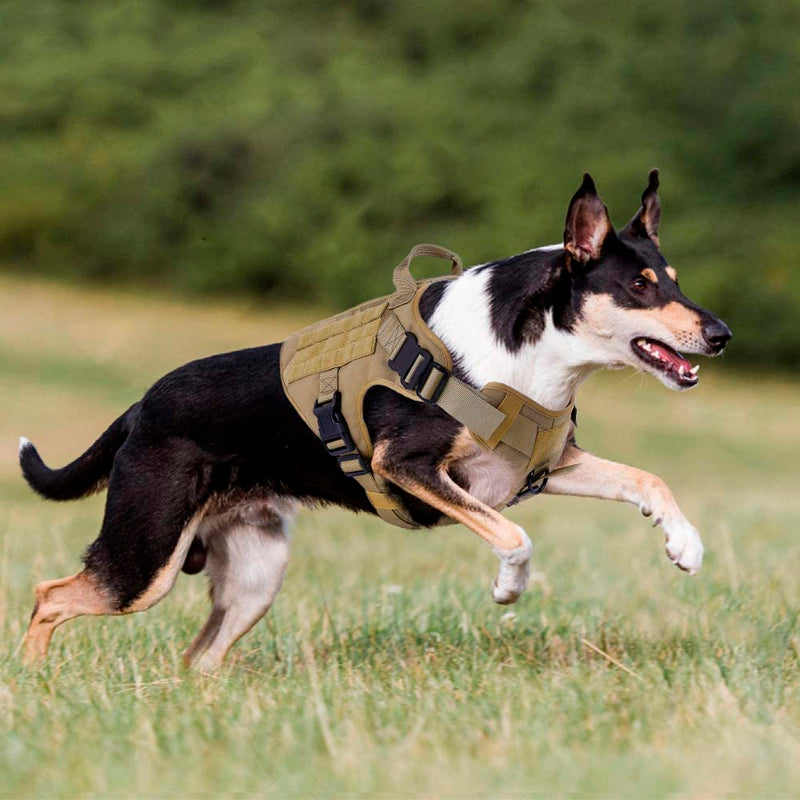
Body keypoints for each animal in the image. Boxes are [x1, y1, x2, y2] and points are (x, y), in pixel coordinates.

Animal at [18, 172, 732, 672]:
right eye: (639, 286)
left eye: (673, 279)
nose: (721, 335)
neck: (530, 353)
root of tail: (141, 406)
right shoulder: (410, 465)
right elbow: (515, 535)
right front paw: (508, 588)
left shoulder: (543, 465)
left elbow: (647, 479)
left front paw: (685, 545)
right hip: (145, 562)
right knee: (49, 594)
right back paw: (33, 685)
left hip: (254, 577)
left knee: (199, 656)